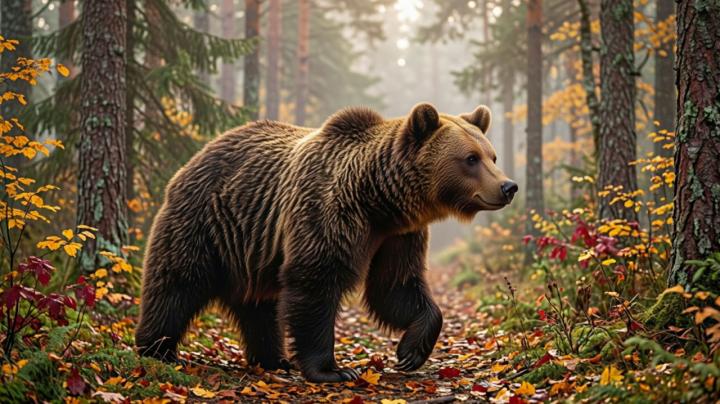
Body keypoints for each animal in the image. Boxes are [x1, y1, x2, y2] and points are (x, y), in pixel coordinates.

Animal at [134, 103, 518, 383]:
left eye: (492, 155)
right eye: (470, 158)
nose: (508, 186)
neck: (378, 201)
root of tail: (194, 158)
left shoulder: (399, 235)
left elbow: (395, 286)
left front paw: (410, 351)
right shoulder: (327, 210)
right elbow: (316, 281)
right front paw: (332, 370)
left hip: (251, 249)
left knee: (259, 306)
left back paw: (274, 360)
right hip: (206, 222)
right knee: (175, 284)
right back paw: (156, 350)